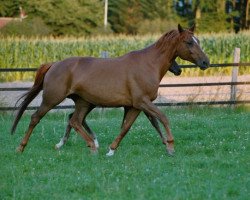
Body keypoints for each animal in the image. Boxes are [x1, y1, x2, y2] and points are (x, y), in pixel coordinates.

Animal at [10, 24, 209, 156]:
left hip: (83, 102)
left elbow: (127, 127)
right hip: (52, 99)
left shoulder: (135, 106)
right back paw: (21, 147)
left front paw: (111, 150)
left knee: (74, 120)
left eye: (197, 41)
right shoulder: (142, 102)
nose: (206, 62)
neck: (148, 64)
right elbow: (163, 118)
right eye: (189, 42)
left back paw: (91, 146)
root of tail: (54, 64)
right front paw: (170, 146)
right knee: (36, 118)